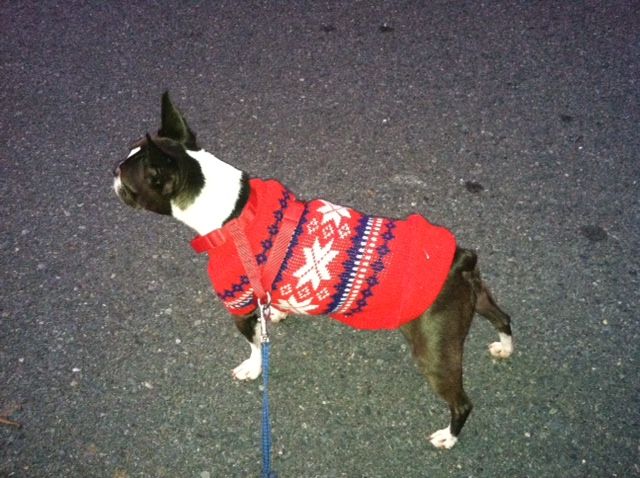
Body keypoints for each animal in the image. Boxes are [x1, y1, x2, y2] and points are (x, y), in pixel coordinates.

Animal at [112, 92, 512, 448]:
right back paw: (505, 348)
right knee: (504, 318)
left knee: (462, 402)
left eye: (125, 177)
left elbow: (254, 344)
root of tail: (459, 260)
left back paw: (449, 436)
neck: (233, 212)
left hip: (434, 350)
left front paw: (252, 368)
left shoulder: (239, 305)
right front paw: (278, 313)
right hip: (475, 300)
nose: (110, 174)